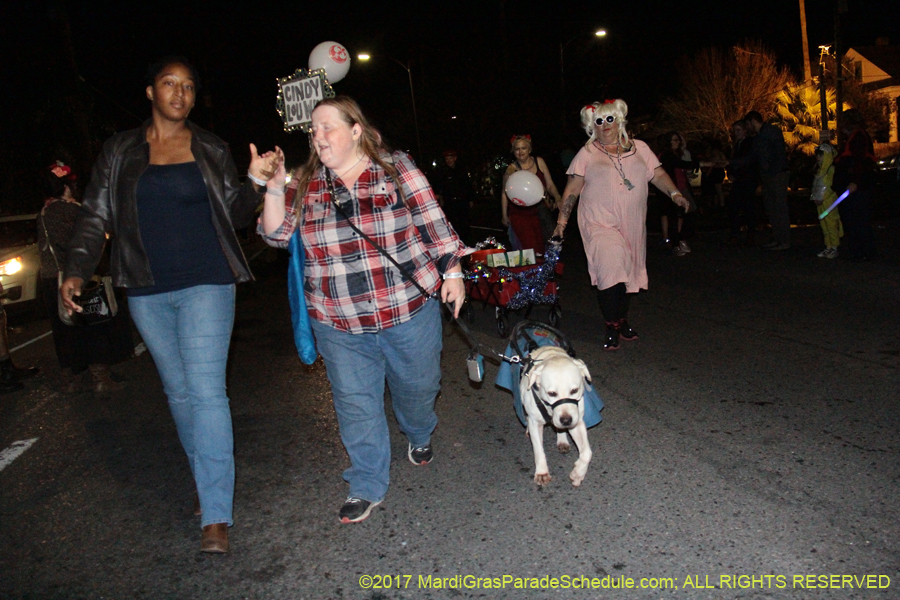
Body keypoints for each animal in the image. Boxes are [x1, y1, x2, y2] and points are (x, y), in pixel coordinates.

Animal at [516, 346, 596, 488]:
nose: (566, 420)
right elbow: (539, 450)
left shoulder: (577, 422)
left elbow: (587, 453)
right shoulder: (535, 423)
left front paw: (578, 473)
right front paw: (542, 473)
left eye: (574, 390)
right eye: (551, 393)